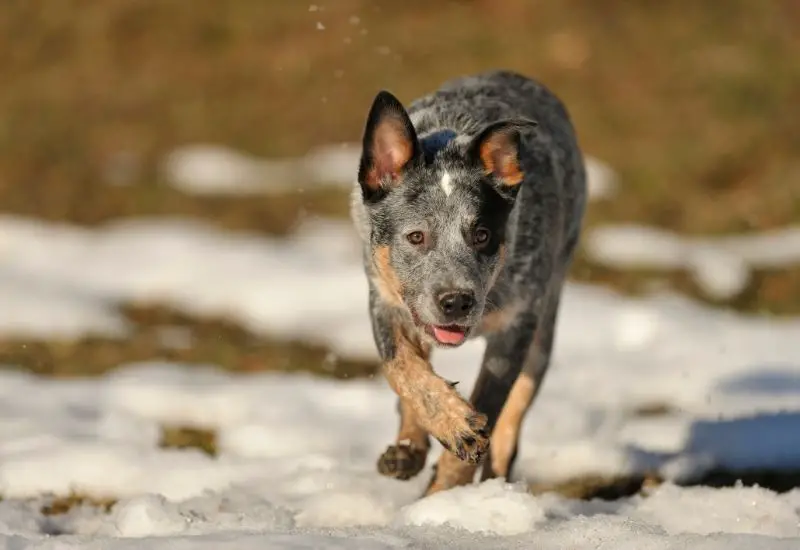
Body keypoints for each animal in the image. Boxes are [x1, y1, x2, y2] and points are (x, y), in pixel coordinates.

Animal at [350, 70, 588, 500]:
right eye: (416, 237)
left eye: (482, 235)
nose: (457, 301)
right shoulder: (384, 299)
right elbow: (401, 367)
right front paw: (449, 423)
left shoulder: (516, 326)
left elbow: (490, 410)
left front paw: (442, 496)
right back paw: (406, 451)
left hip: (544, 328)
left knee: (512, 419)